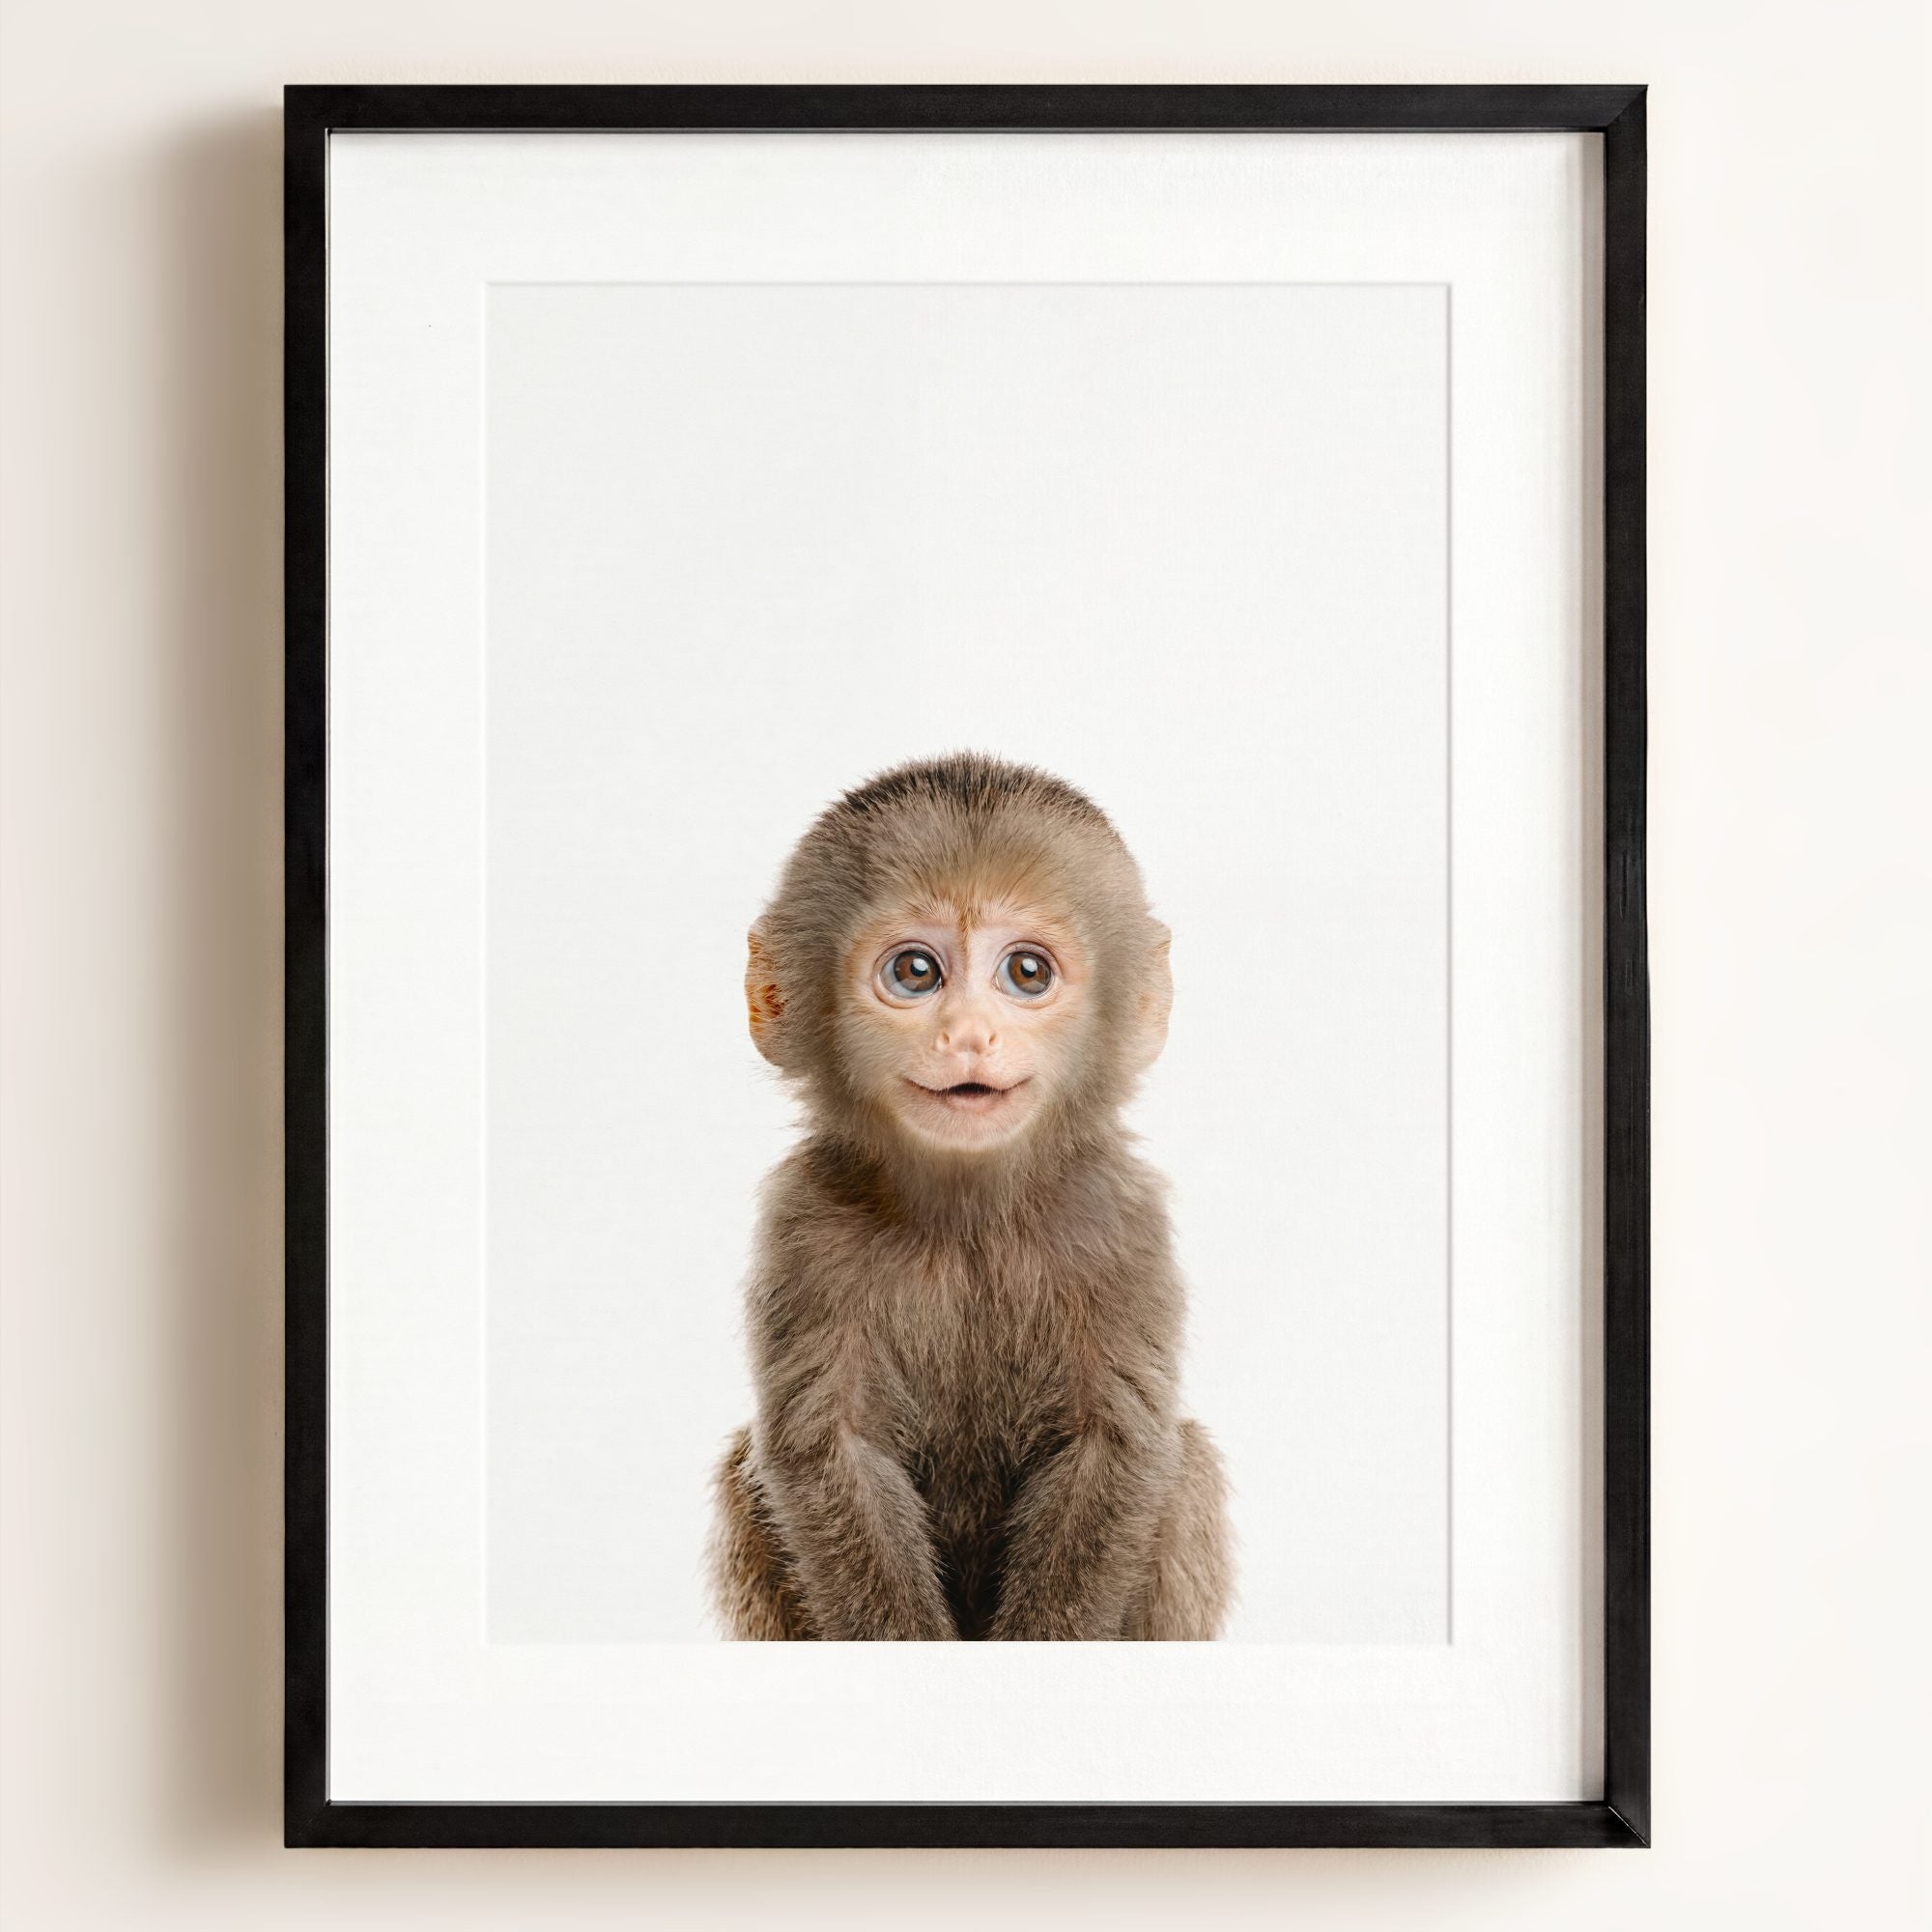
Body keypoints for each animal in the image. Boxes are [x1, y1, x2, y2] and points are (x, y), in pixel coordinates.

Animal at [709, 753, 1232, 1640]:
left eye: (1027, 972)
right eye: (915, 972)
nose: (968, 1036)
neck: (969, 1219)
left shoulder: (1120, 1219)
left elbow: (1115, 1447)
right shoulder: (804, 1223)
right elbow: (830, 1452)